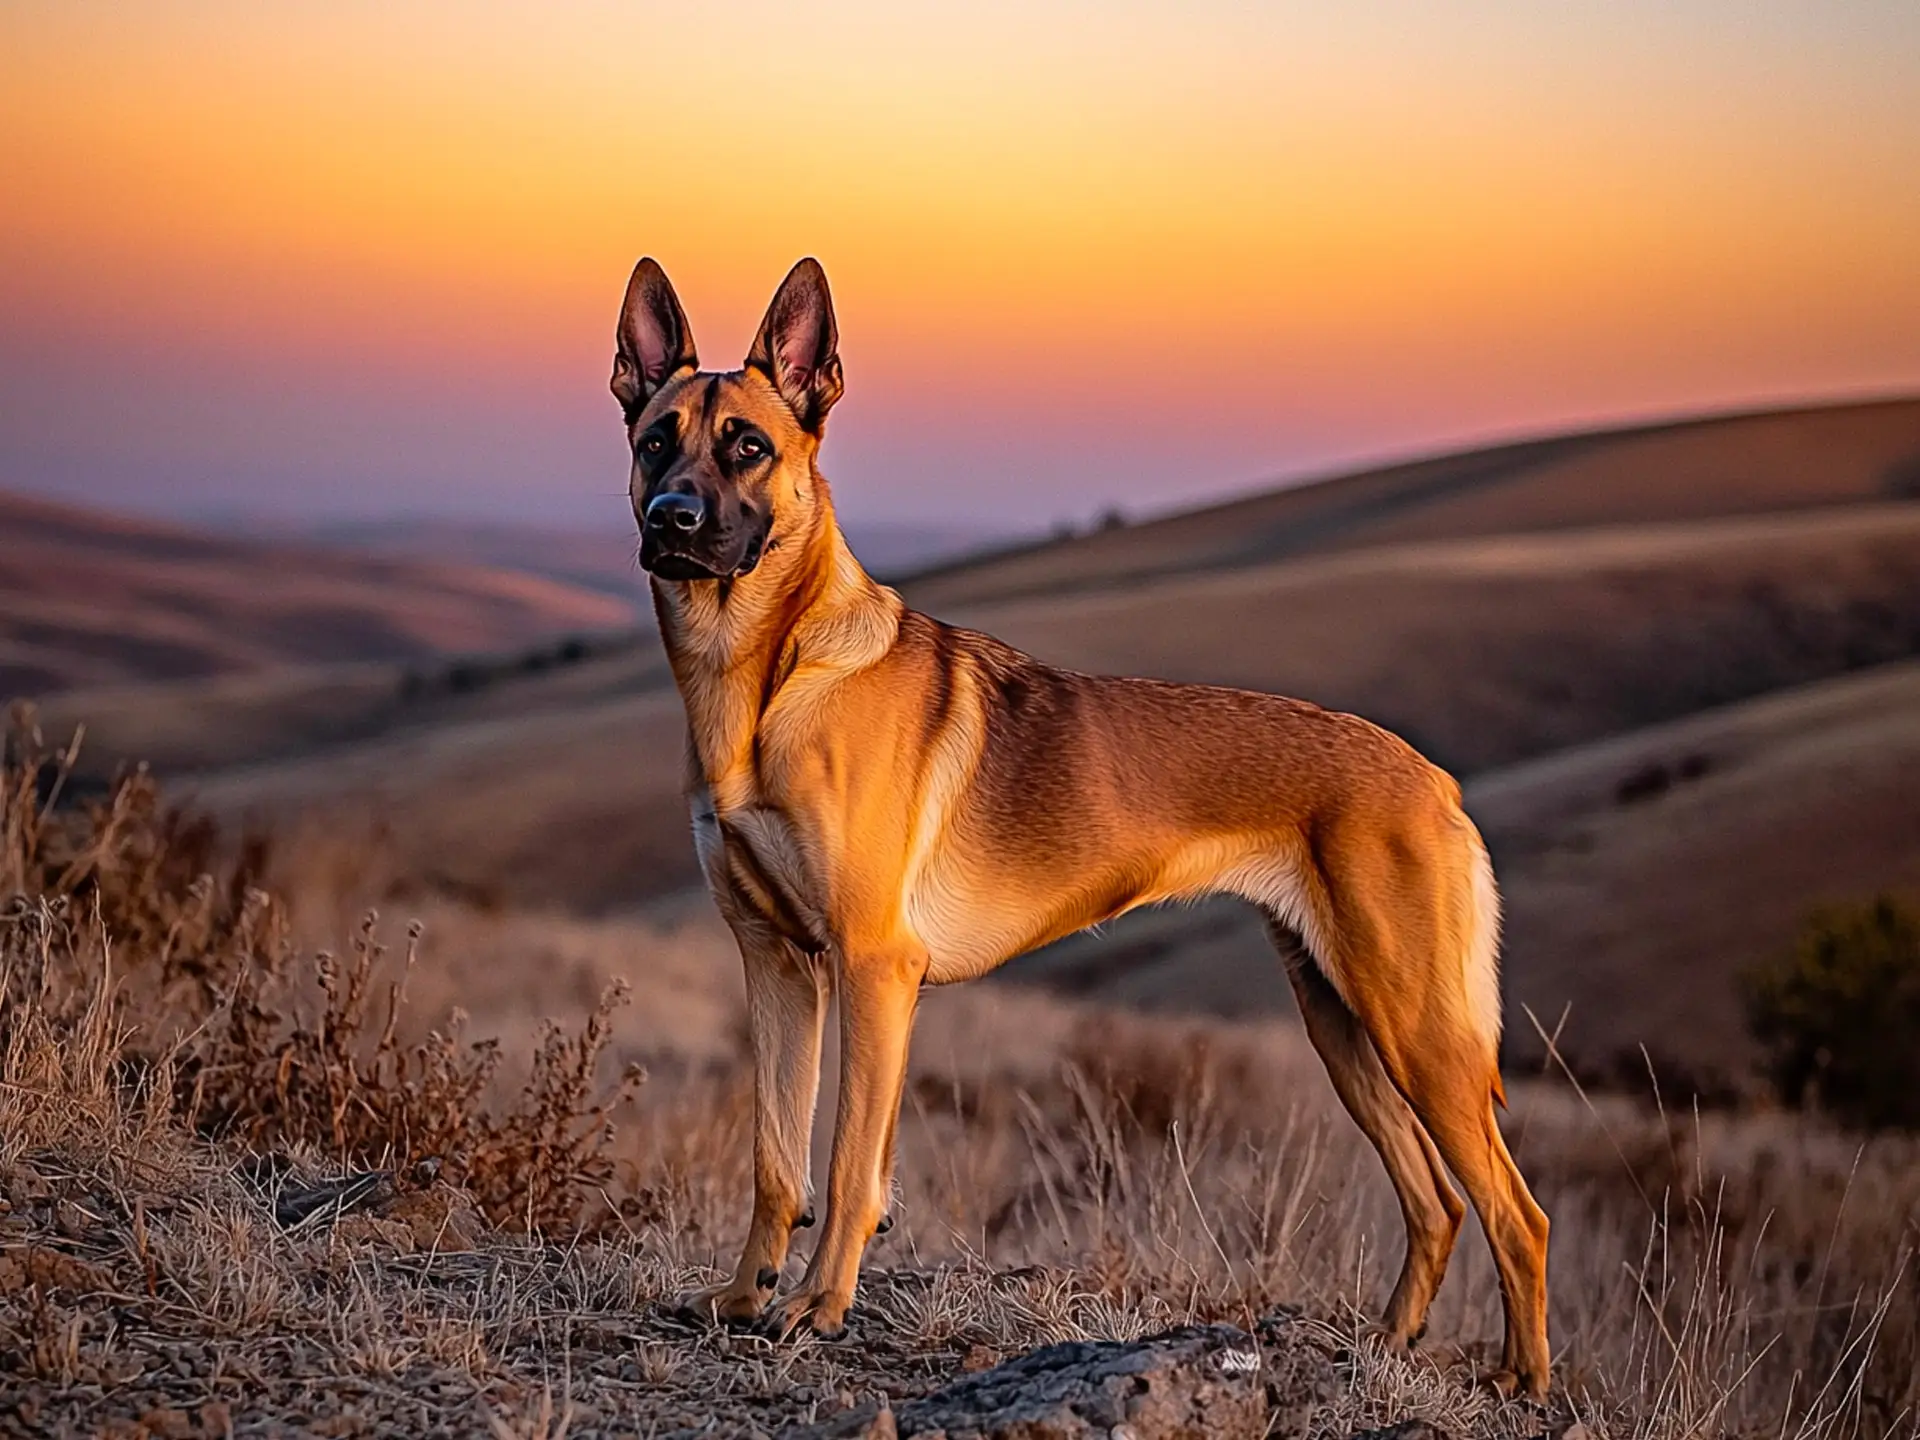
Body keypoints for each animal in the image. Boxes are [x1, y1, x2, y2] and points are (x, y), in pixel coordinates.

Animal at [606, 253, 1551, 1390]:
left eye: (748, 445)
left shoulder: (873, 969)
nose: (672, 518)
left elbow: (847, 1165)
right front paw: (748, 1299)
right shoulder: (778, 964)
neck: (768, 681)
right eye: (656, 439)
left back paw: (1526, 1383)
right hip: (1343, 1025)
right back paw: (1387, 1344)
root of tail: (1434, 779)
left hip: (1418, 1032)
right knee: (1438, 1200)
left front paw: (818, 1308)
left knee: (1516, 1213)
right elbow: (775, 1158)